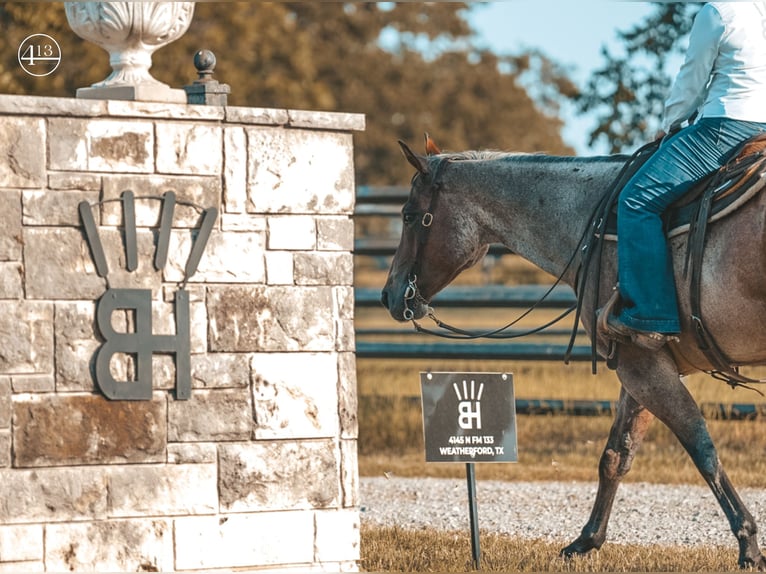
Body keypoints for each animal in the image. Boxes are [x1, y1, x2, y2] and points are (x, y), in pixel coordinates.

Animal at [384, 136, 766, 572]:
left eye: (409, 216)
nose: (389, 294)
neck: (589, 221)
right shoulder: (642, 367)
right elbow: (616, 454)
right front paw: (586, 541)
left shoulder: (641, 367)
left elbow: (702, 449)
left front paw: (748, 545)